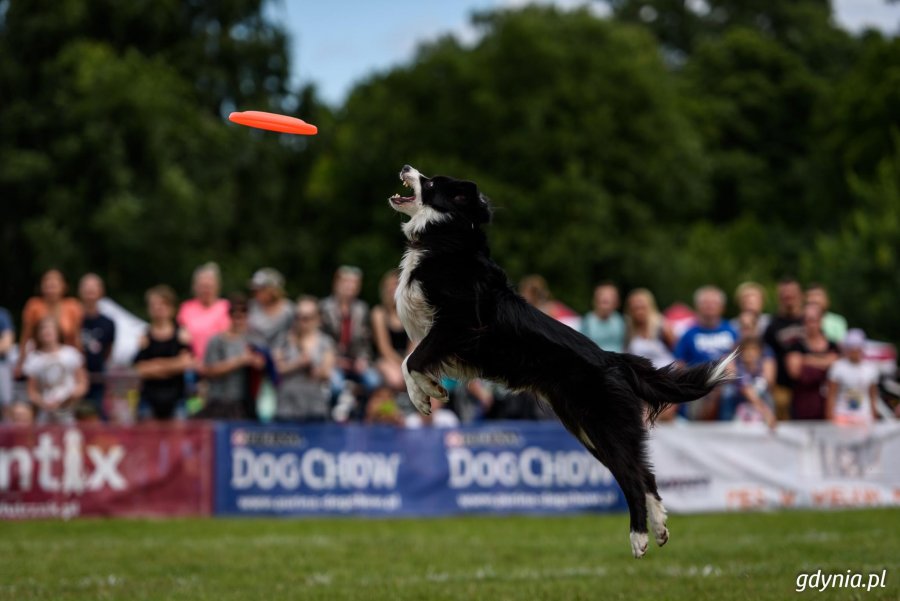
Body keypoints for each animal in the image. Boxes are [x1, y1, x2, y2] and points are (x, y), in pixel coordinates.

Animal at [390, 165, 736, 556]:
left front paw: (424, 396)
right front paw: (430, 390)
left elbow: (411, 359)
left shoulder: (458, 325)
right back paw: (660, 528)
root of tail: (614, 360)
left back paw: (639, 537)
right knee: (642, 472)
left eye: (431, 182)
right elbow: (410, 360)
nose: (405, 167)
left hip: (604, 425)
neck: (445, 239)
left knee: (632, 476)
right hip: (586, 428)